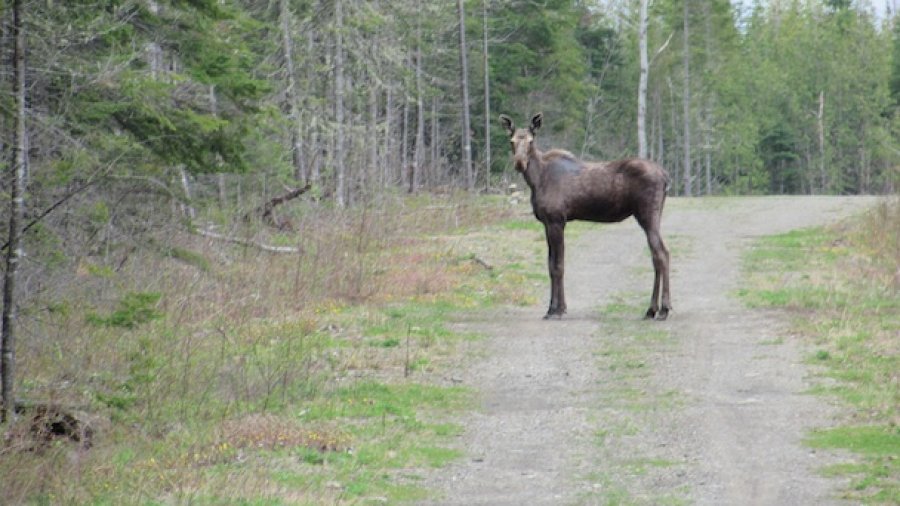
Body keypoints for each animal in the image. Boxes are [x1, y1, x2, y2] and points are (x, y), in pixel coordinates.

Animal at [500, 112, 672, 320]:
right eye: (512, 141)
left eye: (531, 141)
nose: (519, 163)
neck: (536, 180)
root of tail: (665, 176)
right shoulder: (547, 223)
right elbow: (550, 266)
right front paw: (555, 308)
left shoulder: (557, 221)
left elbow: (558, 266)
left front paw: (556, 309)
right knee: (657, 255)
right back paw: (652, 309)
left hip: (647, 215)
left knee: (662, 254)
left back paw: (663, 309)